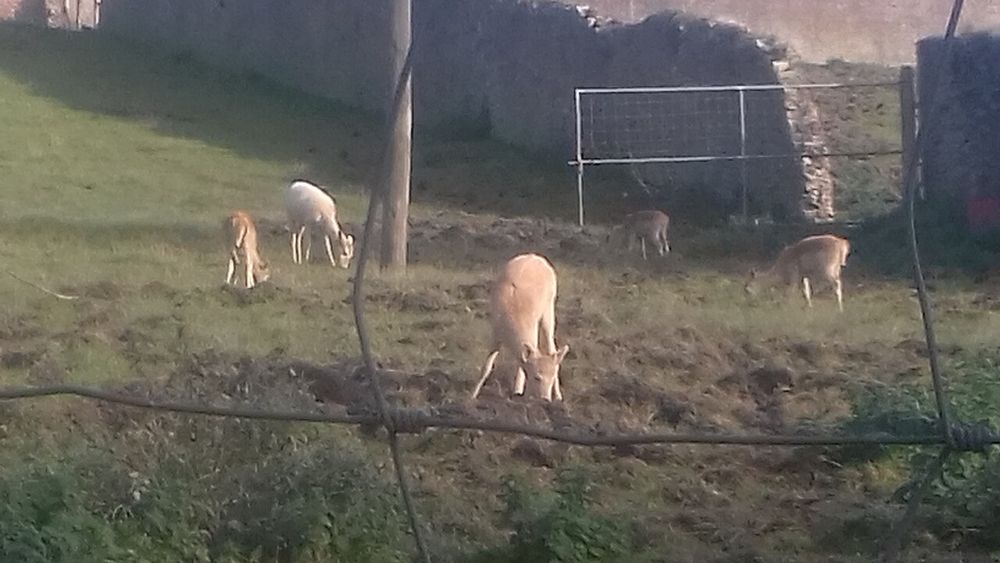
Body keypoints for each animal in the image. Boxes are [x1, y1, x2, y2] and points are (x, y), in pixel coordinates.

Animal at [470, 253, 570, 402]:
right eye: (537, 377)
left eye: (551, 378)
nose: (546, 399)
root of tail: (536, 256)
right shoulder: (496, 332)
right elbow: (487, 367)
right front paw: (472, 396)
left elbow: (521, 365)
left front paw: (518, 392)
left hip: (549, 307)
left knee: (552, 346)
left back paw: (558, 396)